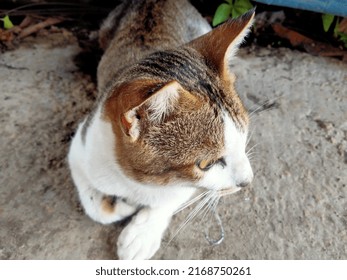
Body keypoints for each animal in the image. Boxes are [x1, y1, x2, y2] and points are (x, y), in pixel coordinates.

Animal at [68, 0, 254, 260]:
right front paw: (122, 207)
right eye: (206, 164)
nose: (247, 181)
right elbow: (95, 207)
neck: (141, 181)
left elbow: (173, 197)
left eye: (244, 138)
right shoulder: (81, 149)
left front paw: (142, 234)